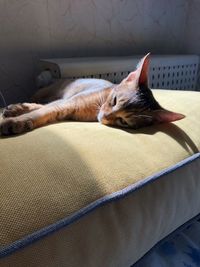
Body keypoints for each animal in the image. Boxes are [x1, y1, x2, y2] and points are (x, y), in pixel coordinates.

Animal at [0, 53, 185, 136]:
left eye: (124, 122)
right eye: (114, 100)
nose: (105, 116)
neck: (95, 109)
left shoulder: (64, 107)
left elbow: (43, 112)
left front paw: (17, 122)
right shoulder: (67, 103)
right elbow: (39, 112)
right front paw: (12, 122)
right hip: (46, 92)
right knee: (38, 101)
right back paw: (16, 108)